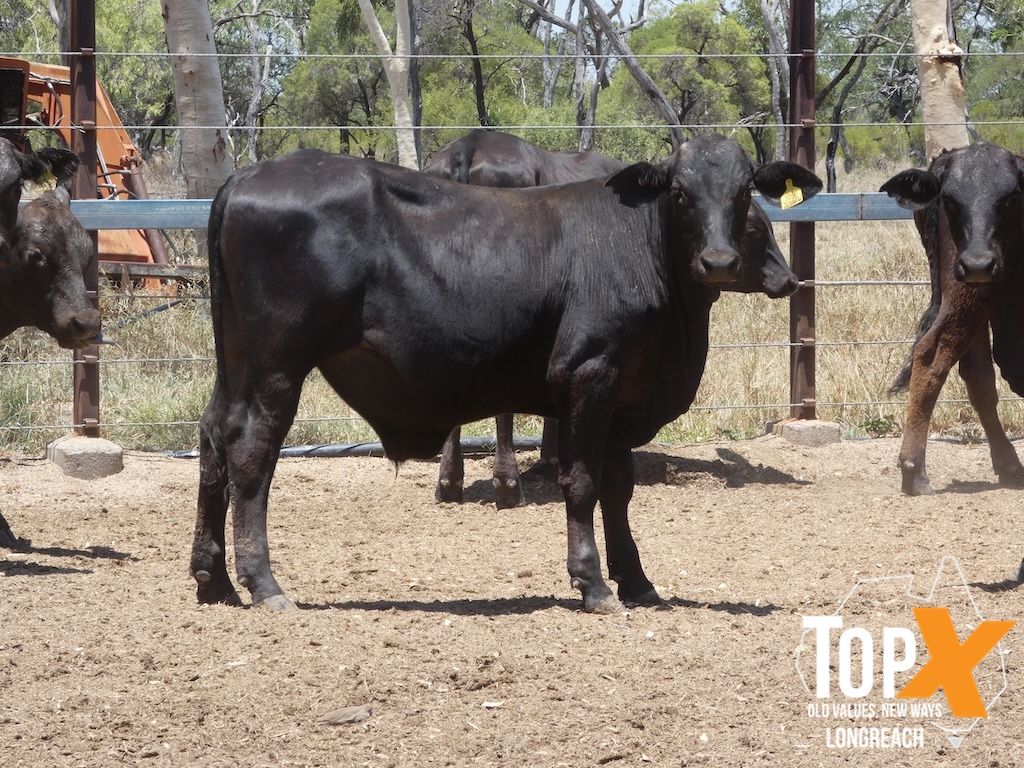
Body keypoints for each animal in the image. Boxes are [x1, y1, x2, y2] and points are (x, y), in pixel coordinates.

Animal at [423, 129, 798, 509]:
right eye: (755, 228)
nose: (789, 279)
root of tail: (469, 147)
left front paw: (551, 458)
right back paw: (507, 484)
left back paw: (450, 481)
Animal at [881, 142, 1024, 496]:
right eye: (951, 199)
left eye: (1012, 195)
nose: (978, 262)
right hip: (967, 295)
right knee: (932, 356)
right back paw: (914, 470)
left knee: (977, 376)